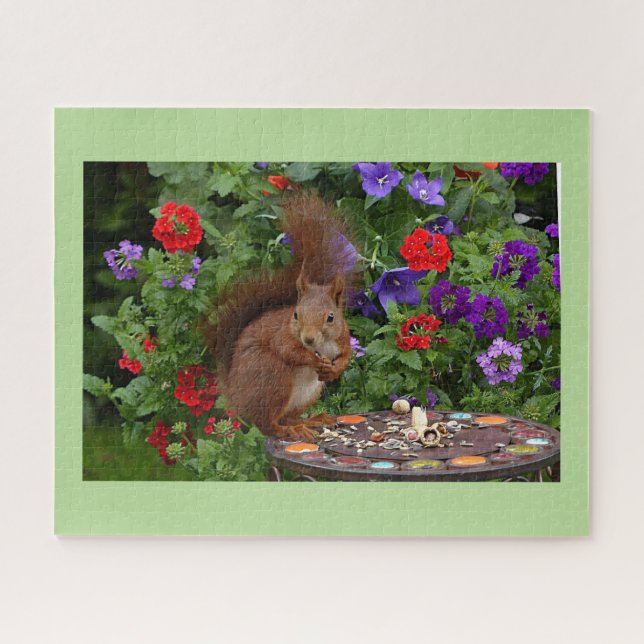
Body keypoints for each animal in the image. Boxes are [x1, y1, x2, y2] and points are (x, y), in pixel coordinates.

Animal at [202, 193, 357, 442]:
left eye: (331, 317)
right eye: (296, 314)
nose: (309, 339)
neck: (321, 345)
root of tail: (235, 396)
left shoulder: (342, 338)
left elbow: (345, 356)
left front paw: (333, 369)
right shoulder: (281, 336)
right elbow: (289, 351)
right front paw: (313, 360)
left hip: (308, 393)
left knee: (288, 416)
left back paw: (312, 420)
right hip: (273, 377)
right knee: (267, 424)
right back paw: (291, 430)